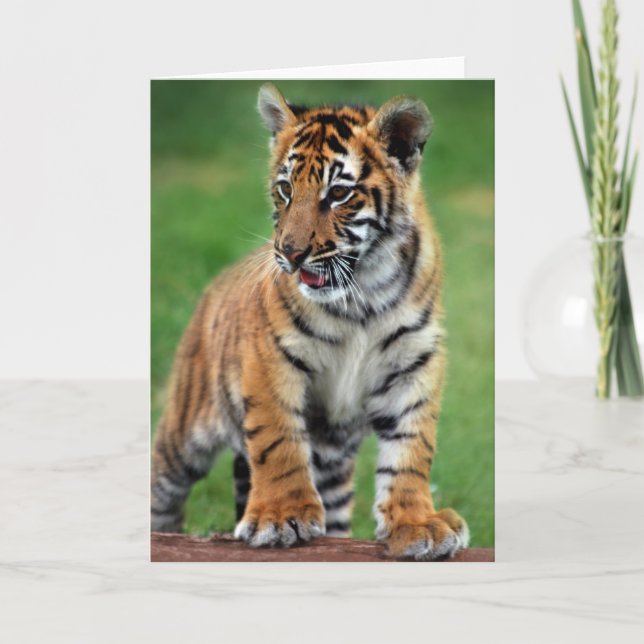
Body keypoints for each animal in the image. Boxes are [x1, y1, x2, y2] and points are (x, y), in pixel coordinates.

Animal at [151, 83, 469, 560]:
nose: (290, 252)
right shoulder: (270, 360)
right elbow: (278, 440)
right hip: (184, 430)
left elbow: (412, 451)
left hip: (334, 469)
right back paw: (163, 536)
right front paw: (281, 516)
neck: (362, 295)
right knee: (162, 486)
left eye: (338, 194)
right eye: (285, 189)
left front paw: (417, 523)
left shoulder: (415, 363)